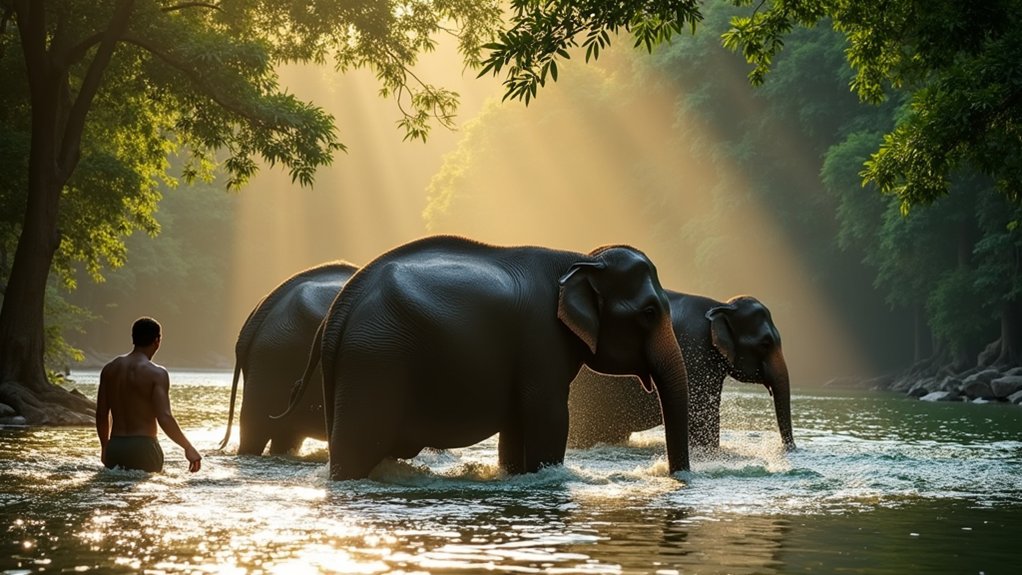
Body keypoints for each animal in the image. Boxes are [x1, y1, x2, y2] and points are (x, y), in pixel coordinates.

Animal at [279, 235, 691, 480]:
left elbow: (517, 423)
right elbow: (550, 416)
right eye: (649, 312)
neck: (580, 260)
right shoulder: (541, 340)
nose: (676, 477)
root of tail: (339, 309)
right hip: (375, 360)